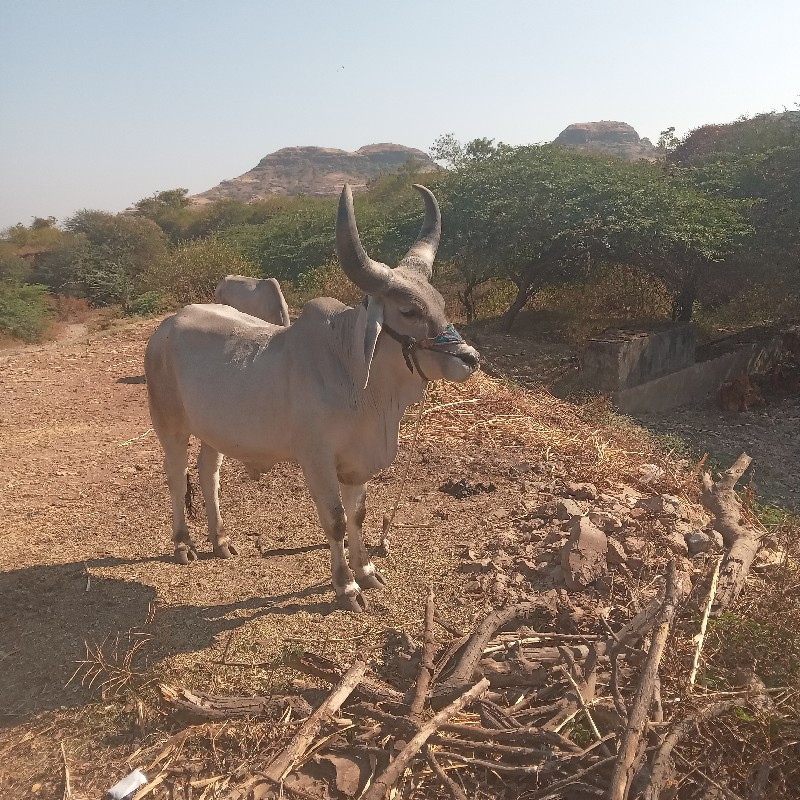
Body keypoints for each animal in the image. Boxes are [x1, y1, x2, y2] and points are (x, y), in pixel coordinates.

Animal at [143, 184, 478, 612]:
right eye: (408, 310)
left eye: (440, 303)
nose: (470, 358)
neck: (359, 384)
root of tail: (165, 327)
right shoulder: (316, 460)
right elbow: (335, 520)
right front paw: (345, 586)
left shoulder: (356, 464)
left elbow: (358, 515)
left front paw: (366, 571)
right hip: (169, 424)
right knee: (175, 475)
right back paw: (184, 545)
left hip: (213, 430)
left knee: (208, 473)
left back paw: (221, 540)